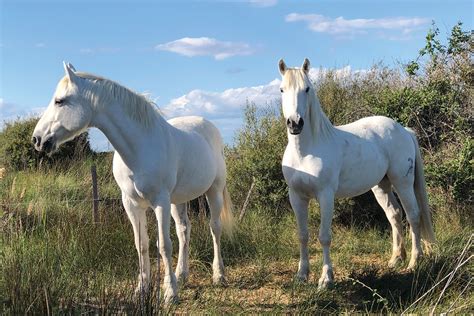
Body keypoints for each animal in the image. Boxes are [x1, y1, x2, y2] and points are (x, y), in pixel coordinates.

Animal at [32, 62, 234, 304]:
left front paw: (170, 293)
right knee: (184, 230)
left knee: (215, 228)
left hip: (214, 191)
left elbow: (163, 245)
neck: (139, 149)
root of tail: (210, 127)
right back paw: (182, 275)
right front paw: (142, 288)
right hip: (178, 200)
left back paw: (218, 275)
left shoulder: (160, 203)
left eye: (59, 101)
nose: (37, 139)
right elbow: (142, 244)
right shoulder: (131, 204)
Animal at [278, 58, 436, 288]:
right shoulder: (297, 197)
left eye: (307, 89)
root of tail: (404, 130)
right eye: (282, 89)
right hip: (381, 185)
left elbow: (324, 236)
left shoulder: (326, 196)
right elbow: (303, 235)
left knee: (413, 215)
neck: (306, 151)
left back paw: (414, 262)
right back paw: (395, 259)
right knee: (395, 214)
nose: (295, 123)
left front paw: (326, 279)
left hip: (403, 183)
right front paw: (301, 275)